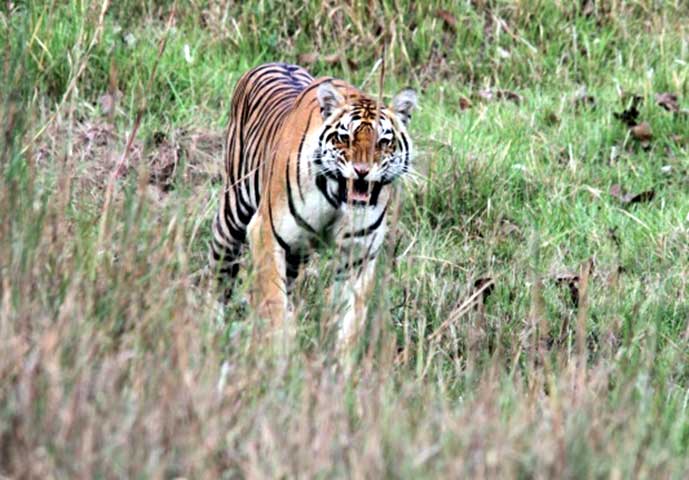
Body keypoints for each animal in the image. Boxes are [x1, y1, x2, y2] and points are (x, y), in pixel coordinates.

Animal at [207, 62, 416, 354]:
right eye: (344, 138)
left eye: (383, 141)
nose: (362, 171)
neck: (337, 197)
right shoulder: (265, 232)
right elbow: (273, 301)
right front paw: (278, 352)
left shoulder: (359, 254)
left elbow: (351, 318)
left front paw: (341, 361)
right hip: (233, 213)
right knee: (220, 273)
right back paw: (212, 329)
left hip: (297, 251)